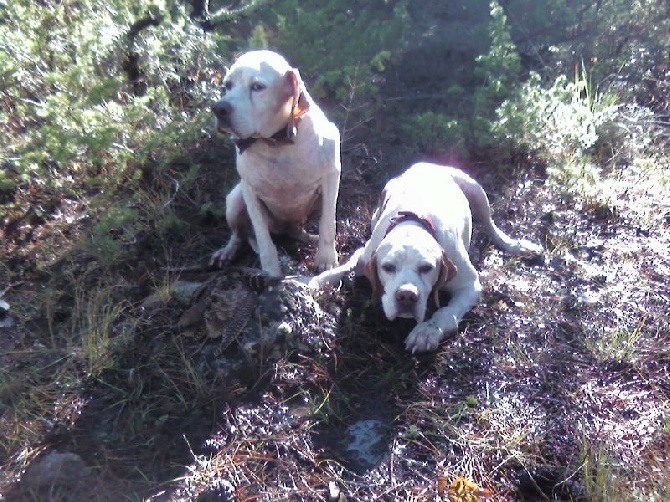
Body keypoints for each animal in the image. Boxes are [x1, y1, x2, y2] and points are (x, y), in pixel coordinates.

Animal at [211, 50, 342, 278]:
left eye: (257, 87)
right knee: (240, 235)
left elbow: (327, 223)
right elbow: (264, 240)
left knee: (299, 230)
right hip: (235, 200)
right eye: (227, 85)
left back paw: (308, 238)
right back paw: (227, 251)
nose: (219, 108)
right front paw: (271, 271)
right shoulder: (250, 192)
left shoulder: (331, 178)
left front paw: (326, 260)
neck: (276, 143)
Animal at [310, 162, 540, 352]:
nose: (406, 296)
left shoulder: (470, 285)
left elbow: (446, 312)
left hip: (475, 189)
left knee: (491, 225)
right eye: (388, 267)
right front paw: (315, 281)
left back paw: (517, 245)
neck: (414, 221)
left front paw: (427, 331)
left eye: (427, 268)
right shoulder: (366, 255)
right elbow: (346, 265)